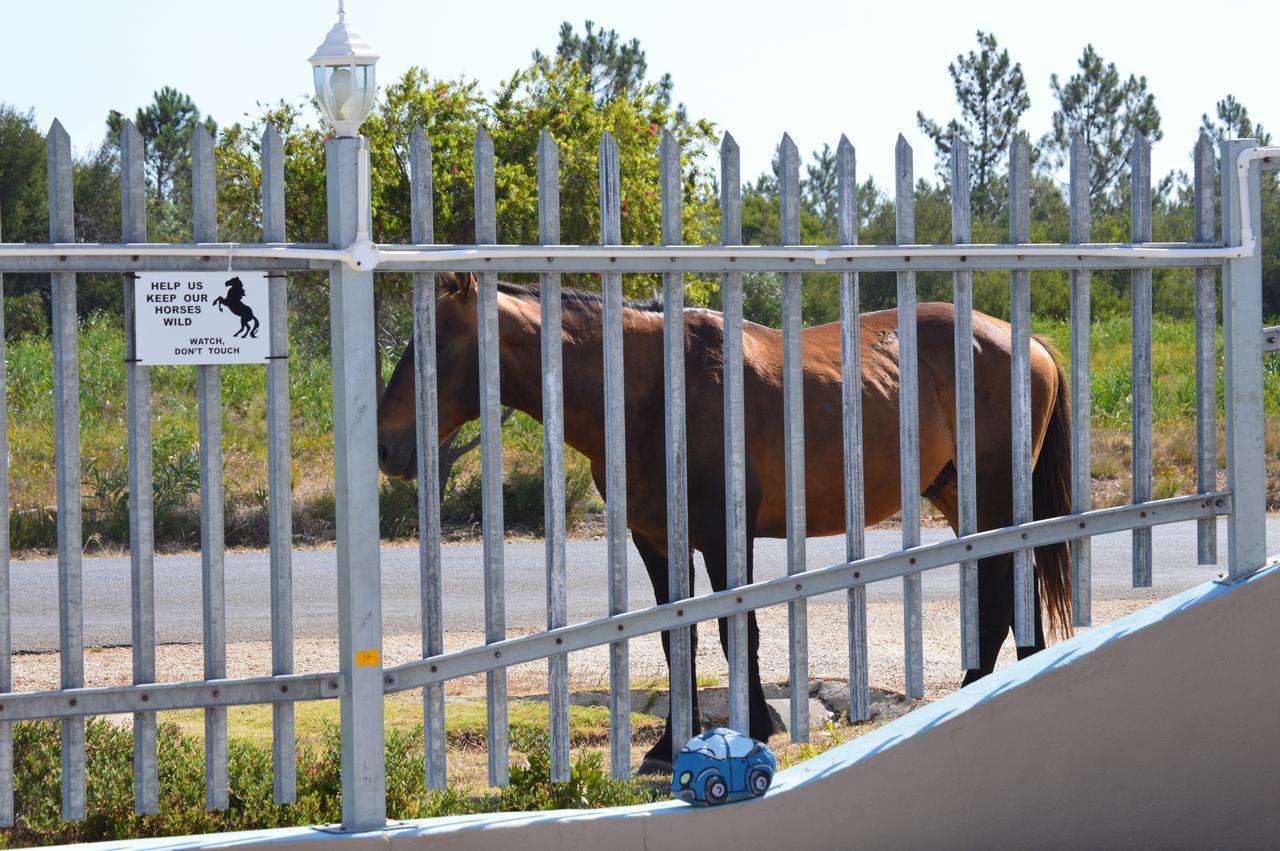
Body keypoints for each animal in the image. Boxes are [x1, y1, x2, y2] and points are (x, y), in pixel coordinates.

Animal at [376, 270, 1070, 767]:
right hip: (959, 498)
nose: (387, 447)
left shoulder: (721, 535)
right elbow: (673, 635)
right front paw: (666, 744)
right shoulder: (656, 540)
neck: (653, 390)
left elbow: (740, 632)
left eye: (439, 341)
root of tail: (1028, 342)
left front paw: (759, 723)